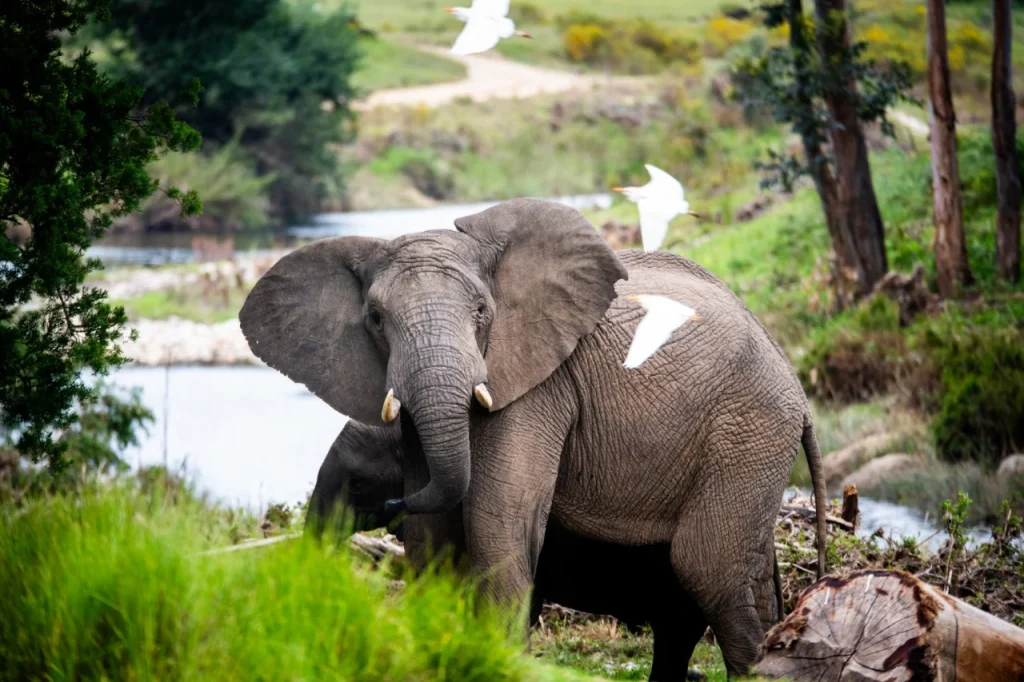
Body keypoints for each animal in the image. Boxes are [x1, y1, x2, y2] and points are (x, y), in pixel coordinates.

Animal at [240, 197, 827, 677]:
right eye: (376, 319)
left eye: (482, 312)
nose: (390, 504)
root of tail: (796, 389)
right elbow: (435, 537)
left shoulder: (539, 386)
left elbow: (495, 520)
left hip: (749, 430)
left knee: (707, 568)